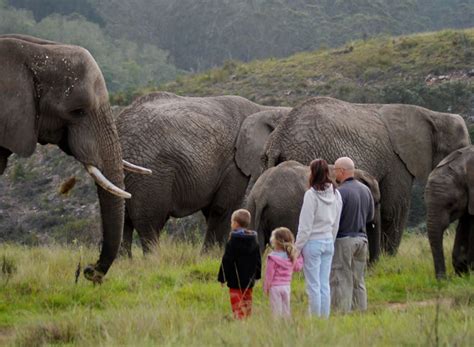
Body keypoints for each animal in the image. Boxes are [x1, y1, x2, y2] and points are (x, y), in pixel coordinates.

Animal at [115, 92, 286, 256]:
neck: (266, 110)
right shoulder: (233, 165)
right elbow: (223, 208)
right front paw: (212, 255)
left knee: (125, 223)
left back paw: (125, 262)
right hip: (152, 173)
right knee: (150, 223)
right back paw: (153, 260)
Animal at [244, 162, 382, 262]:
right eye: (376, 202)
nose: (372, 265)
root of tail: (262, 194)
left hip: (252, 206)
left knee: (259, 246)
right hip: (287, 211)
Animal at [262, 96, 470, 254]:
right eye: (459, 150)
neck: (432, 115)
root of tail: (279, 139)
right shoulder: (397, 162)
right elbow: (393, 209)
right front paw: (389, 258)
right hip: (308, 153)